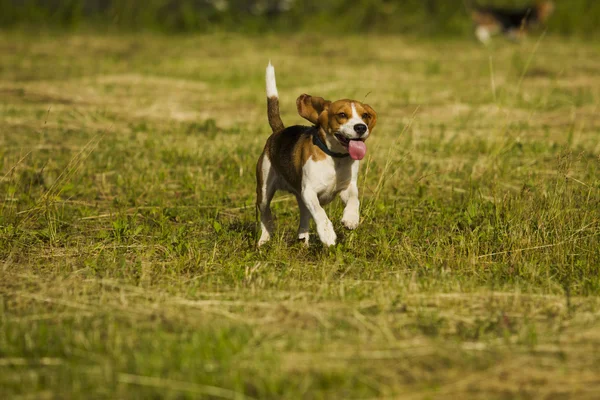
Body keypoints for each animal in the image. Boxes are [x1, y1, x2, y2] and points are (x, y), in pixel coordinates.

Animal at [256, 62, 378, 247]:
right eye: (342, 115)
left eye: (365, 115)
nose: (361, 127)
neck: (335, 158)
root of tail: (279, 132)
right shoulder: (309, 191)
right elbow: (320, 213)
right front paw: (327, 234)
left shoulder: (347, 187)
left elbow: (354, 200)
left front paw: (351, 218)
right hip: (264, 189)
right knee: (266, 215)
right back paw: (264, 240)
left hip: (299, 197)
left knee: (304, 216)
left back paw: (303, 239)